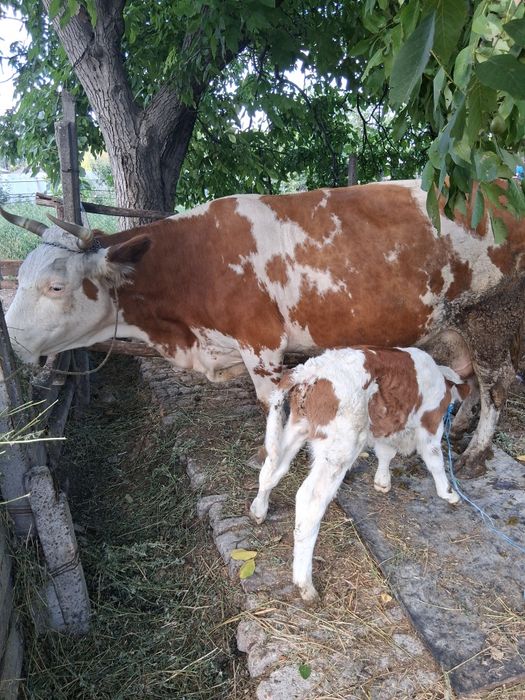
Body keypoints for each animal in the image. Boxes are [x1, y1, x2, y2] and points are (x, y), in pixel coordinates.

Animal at [1, 180, 523, 477]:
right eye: (19, 276)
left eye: (55, 286)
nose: (10, 336)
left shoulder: (262, 344)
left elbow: (270, 402)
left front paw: (268, 455)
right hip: (453, 327)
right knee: (468, 378)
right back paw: (460, 429)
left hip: (488, 315)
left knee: (497, 382)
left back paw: (476, 453)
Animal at [249, 346, 466, 602]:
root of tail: (309, 369)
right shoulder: (430, 426)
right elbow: (435, 460)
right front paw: (448, 493)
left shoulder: (387, 426)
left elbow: (385, 453)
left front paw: (382, 481)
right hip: (341, 447)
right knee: (309, 502)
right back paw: (305, 585)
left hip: (297, 428)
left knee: (272, 469)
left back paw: (259, 511)